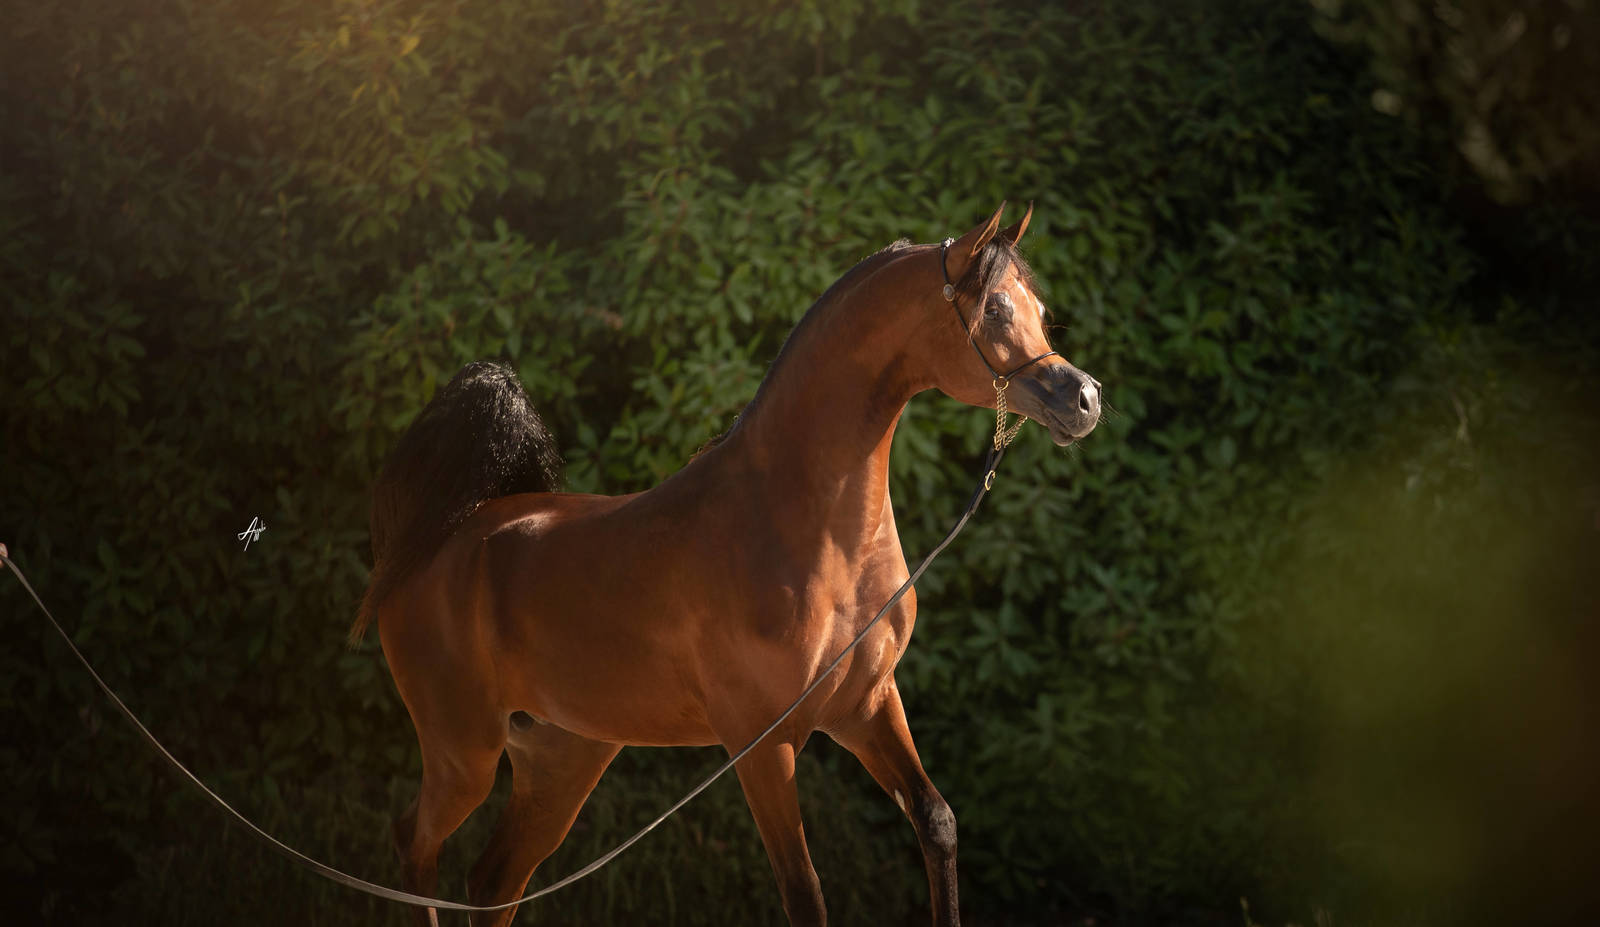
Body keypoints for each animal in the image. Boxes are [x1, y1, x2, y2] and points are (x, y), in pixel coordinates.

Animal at [351, 203, 1102, 926]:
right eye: (995, 308)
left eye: (1038, 309)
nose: (1085, 398)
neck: (810, 531)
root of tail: (440, 541)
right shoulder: (761, 743)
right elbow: (804, 892)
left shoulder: (867, 704)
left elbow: (937, 823)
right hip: (464, 754)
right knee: (415, 846)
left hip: (560, 760)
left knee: (491, 884)